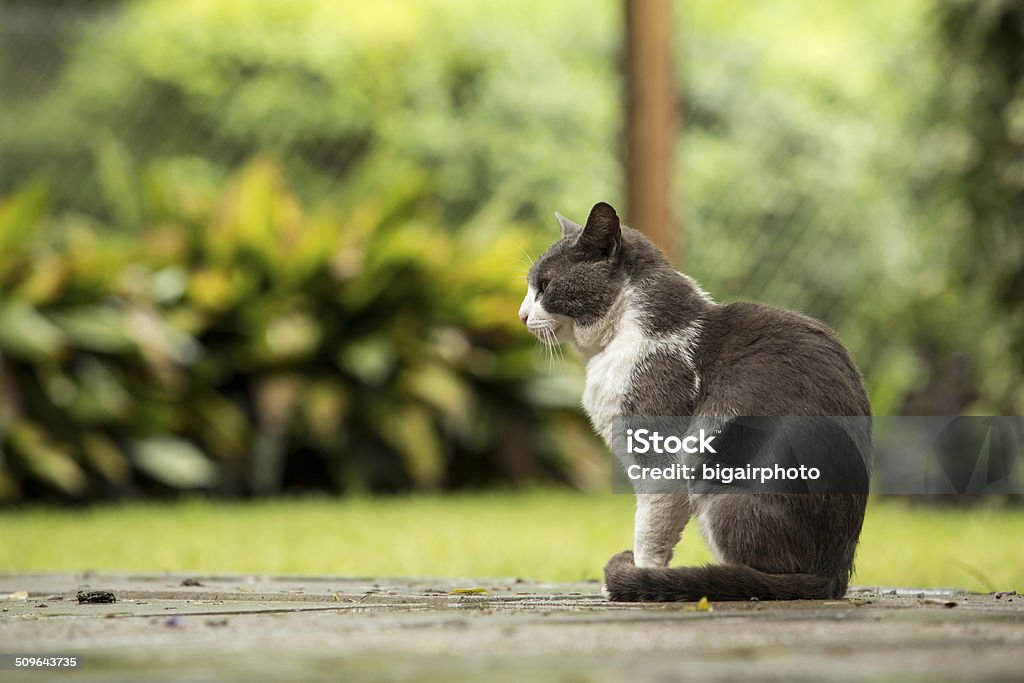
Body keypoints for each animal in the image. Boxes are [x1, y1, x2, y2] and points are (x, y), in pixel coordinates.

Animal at [520, 200, 872, 602]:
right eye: (529, 286)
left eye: (545, 285)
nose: (522, 314)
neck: (624, 334)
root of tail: (835, 572)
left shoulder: (661, 454)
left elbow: (649, 530)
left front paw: (641, 577)